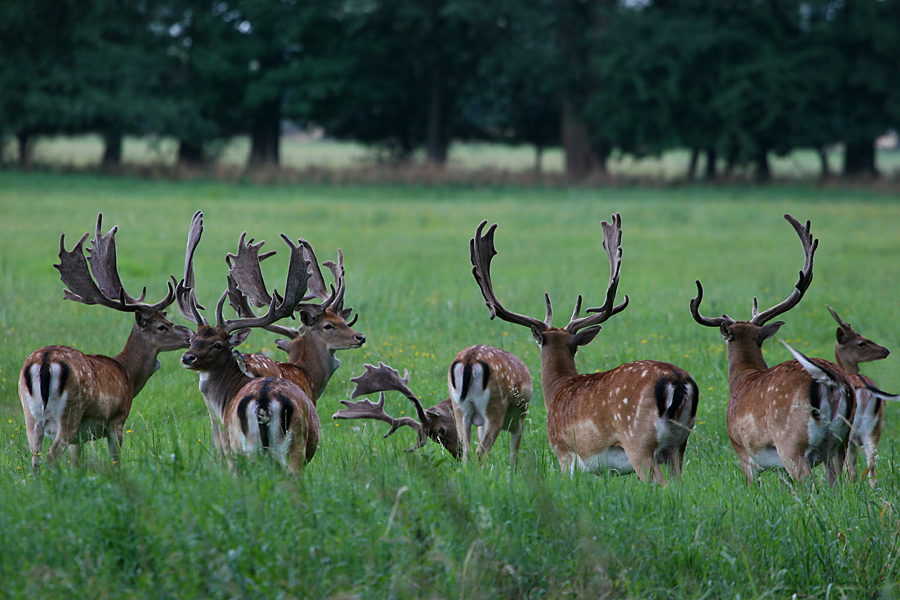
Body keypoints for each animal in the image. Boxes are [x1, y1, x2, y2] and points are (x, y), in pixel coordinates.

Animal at [17, 213, 191, 472]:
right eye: (163, 326)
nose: (189, 336)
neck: (128, 374)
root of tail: (45, 361)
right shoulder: (117, 419)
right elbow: (116, 461)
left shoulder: (81, 437)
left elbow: (76, 462)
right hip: (70, 413)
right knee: (51, 454)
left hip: (31, 415)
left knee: (35, 458)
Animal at [468, 213, 700, 486]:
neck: (556, 391)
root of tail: (678, 382)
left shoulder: (563, 451)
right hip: (680, 444)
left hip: (639, 441)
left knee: (660, 484)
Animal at [692, 216, 856, 488]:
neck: (741, 379)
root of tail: (830, 380)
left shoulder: (743, 451)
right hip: (840, 442)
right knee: (834, 484)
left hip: (790, 442)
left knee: (809, 484)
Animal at [828, 304, 896, 488]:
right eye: (861, 342)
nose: (885, 350)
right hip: (874, 428)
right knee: (872, 470)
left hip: (850, 431)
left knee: (852, 471)